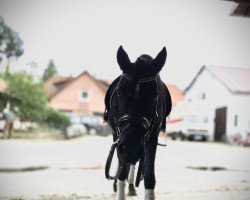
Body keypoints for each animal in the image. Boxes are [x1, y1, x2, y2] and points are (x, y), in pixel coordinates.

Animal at [104, 46, 172, 199]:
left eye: (154, 96)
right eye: (119, 92)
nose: (132, 147)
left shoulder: (152, 137)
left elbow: (149, 176)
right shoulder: (119, 137)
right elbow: (122, 170)